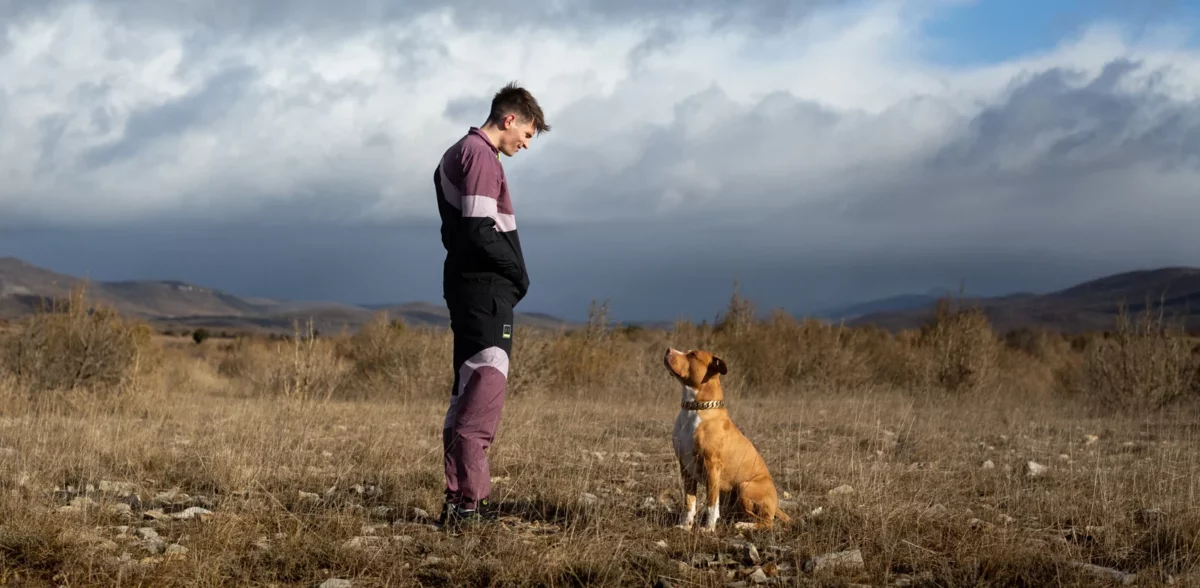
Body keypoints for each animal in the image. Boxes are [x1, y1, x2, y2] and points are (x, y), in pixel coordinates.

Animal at [662, 348, 792, 530]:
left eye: (693, 355)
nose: (669, 350)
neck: (694, 408)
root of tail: (776, 505)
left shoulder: (711, 466)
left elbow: (711, 503)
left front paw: (708, 529)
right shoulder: (685, 466)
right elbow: (689, 501)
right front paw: (685, 526)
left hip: (745, 486)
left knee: (767, 521)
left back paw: (744, 525)